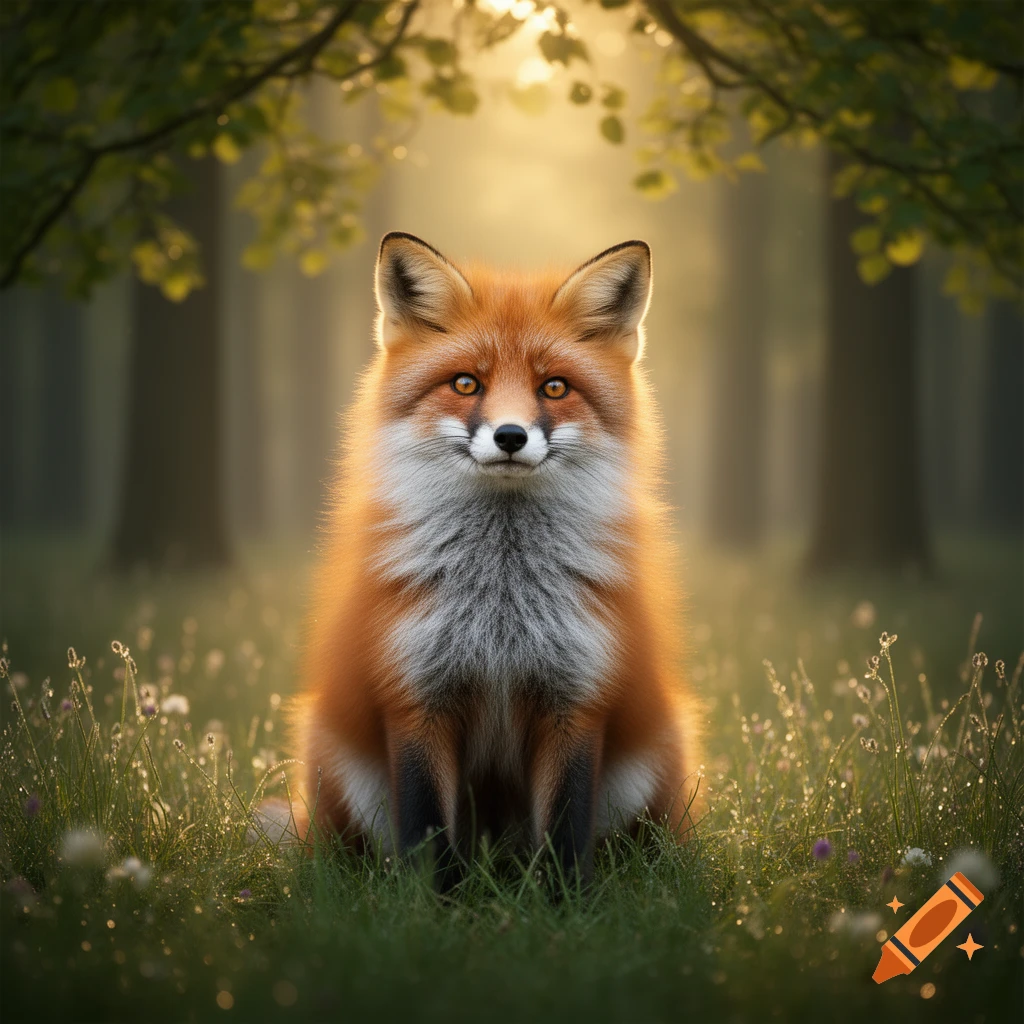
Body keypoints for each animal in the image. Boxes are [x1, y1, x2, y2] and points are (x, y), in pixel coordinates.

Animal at [285, 232, 703, 883]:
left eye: (554, 387)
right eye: (465, 384)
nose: (510, 436)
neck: (502, 603)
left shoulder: (575, 700)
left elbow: (563, 838)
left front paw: (566, 904)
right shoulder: (416, 697)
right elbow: (429, 836)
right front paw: (434, 904)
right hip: (332, 756)